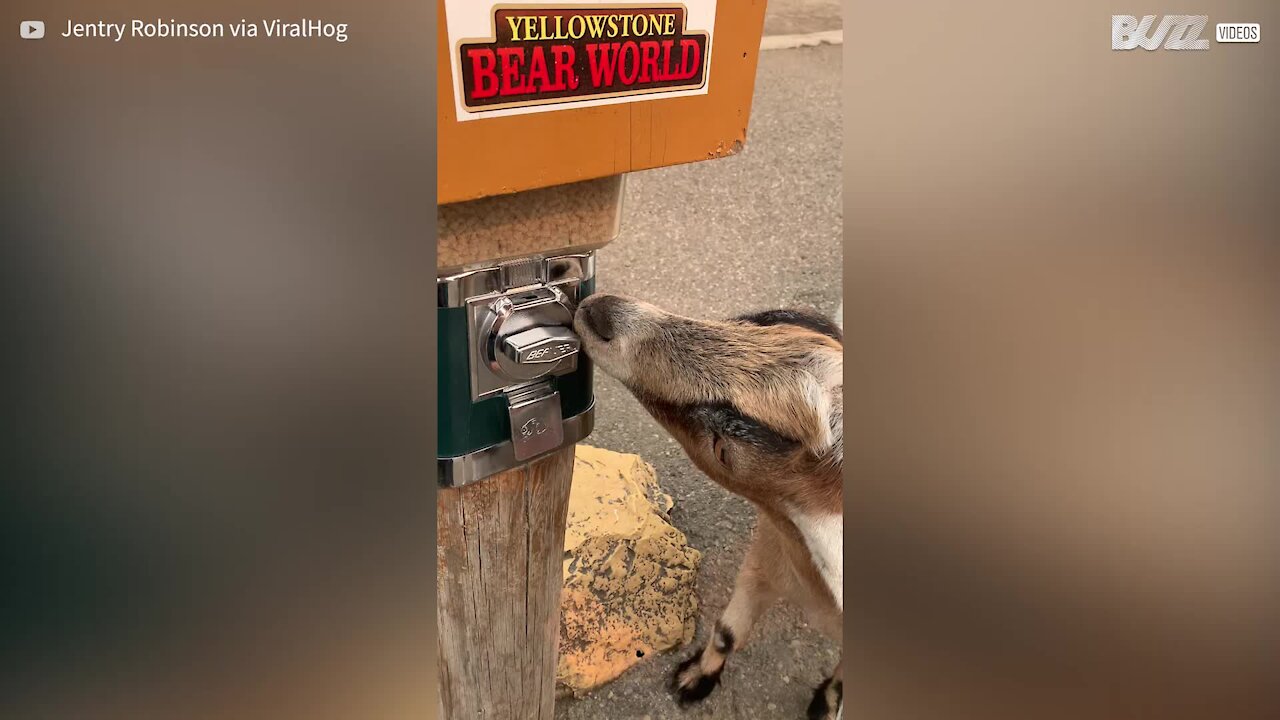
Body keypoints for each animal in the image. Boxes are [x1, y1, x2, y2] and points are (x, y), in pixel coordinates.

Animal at [576, 293, 844, 717]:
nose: (601, 312)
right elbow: (727, 633)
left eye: (723, 449)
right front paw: (694, 677)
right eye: (763, 322)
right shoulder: (764, 558)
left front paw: (825, 702)